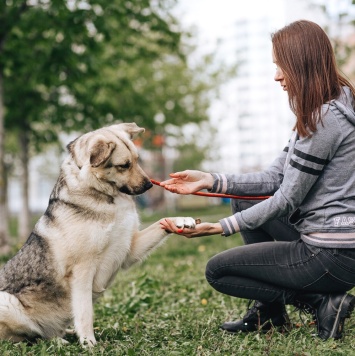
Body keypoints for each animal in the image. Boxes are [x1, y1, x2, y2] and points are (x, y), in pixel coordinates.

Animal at [0, 124, 197, 346]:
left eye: (137, 160)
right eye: (124, 165)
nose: (149, 185)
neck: (106, 196)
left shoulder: (128, 250)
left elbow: (161, 223)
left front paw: (181, 220)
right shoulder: (83, 270)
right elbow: (85, 312)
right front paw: (89, 343)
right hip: (6, 302)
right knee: (29, 337)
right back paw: (58, 342)